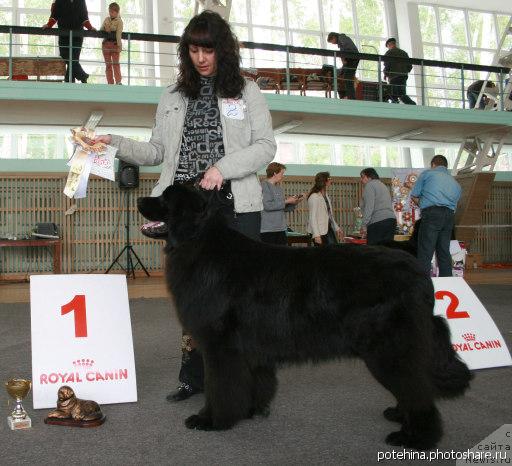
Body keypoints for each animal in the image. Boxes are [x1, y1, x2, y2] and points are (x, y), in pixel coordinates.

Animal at [137, 184, 472, 450]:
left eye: (165, 198)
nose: (140, 199)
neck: (200, 242)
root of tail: (420, 273)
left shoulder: (221, 346)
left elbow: (220, 386)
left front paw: (210, 420)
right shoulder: (249, 348)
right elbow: (253, 382)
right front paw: (251, 410)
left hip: (389, 349)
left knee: (418, 391)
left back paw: (416, 438)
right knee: (413, 386)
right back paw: (399, 416)